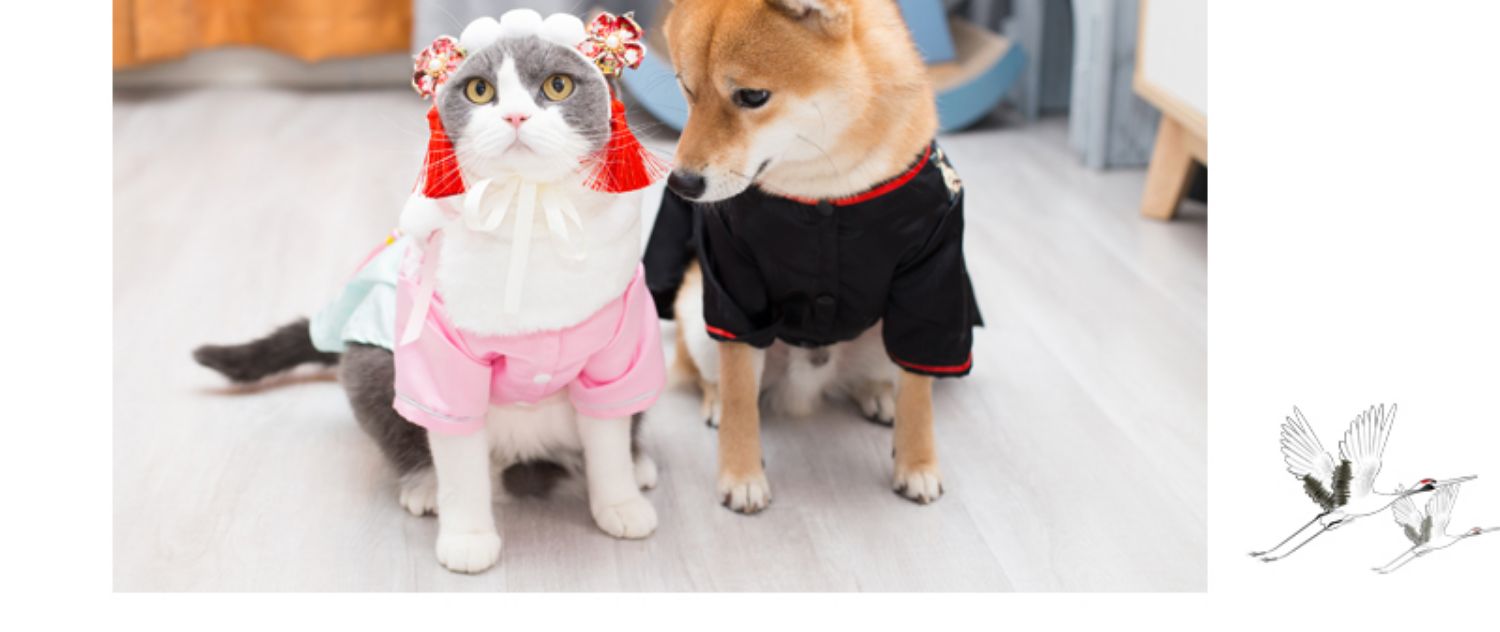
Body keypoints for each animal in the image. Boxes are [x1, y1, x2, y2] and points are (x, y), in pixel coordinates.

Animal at [644, 0, 981, 513]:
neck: (826, 188)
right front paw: (741, 474)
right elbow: (741, 393)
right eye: (687, 88)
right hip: (696, 313)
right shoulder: (734, 288)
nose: (681, 183)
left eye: (752, 96)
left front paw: (918, 464)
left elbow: (919, 395)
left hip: (881, 337)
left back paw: (880, 396)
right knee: (713, 376)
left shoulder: (931, 285)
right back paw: (716, 402)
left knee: (882, 377)